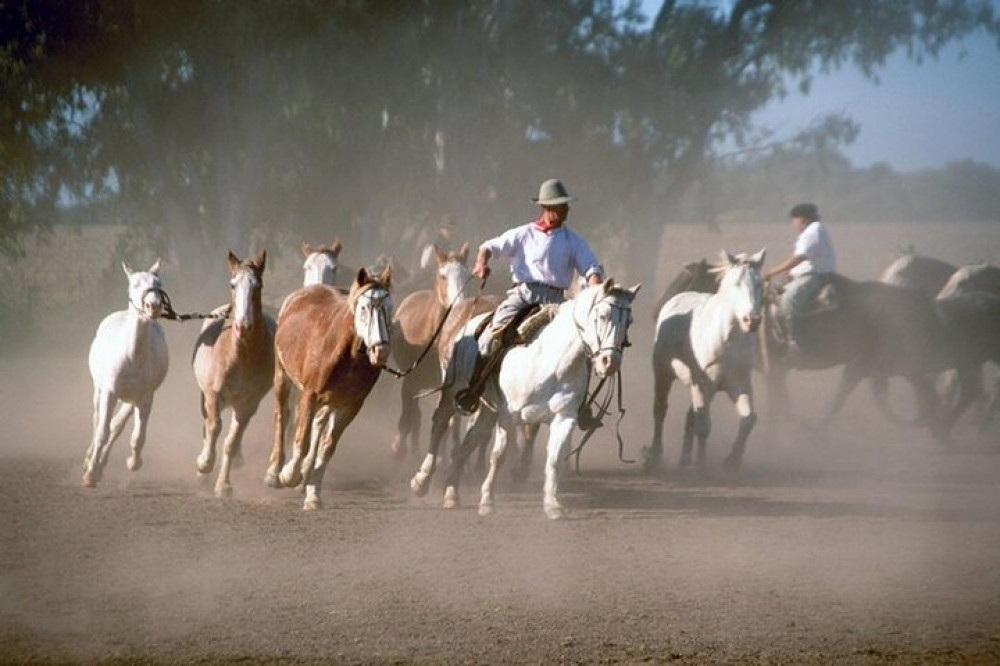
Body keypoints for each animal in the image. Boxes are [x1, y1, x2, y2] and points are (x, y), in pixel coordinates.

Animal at [83, 256, 169, 486]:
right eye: (135, 284)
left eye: (158, 284)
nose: (152, 306)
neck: (131, 358)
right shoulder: (109, 393)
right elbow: (102, 432)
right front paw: (90, 474)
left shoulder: (145, 398)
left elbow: (137, 436)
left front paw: (133, 462)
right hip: (99, 391)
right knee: (98, 422)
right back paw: (90, 459)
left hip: (131, 400)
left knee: (117, 427)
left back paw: (102, 464)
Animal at [192, 252, 276, 496]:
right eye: (233, 284)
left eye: (258, 285)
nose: (243, 327)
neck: (240, 355)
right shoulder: (212, 394)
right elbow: (213, 427)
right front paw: (204, 464)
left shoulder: (248, 404)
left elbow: (231, 441)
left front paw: (224, 485)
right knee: (208, 424)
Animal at [270, 264, 394, 508]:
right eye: (364, 307)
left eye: (389, 308)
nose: (381, 351)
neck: (346, 355)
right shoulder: (309, 395)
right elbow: (302, 440)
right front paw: (289, 474)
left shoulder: (350, 406)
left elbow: (327, 447)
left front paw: (313, 494)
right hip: (282, 376)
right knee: (283, 416)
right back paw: (275, 471)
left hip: (328, 401)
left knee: (318, 424)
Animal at [408, 278, 636, 516]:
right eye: (602, 315)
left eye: (629, 321)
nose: (610, 362)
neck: (552, 361)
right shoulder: (509, 415)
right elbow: (498, 456)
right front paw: (487, 501)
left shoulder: (564, 417)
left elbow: (554, 459)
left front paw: (552, 504)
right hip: (453, 391)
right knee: (440, 424)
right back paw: (421, 481)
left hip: (488, 410)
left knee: (469, 442)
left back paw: (452, 493)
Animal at [644, 249, 760, 472]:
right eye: (736, 283)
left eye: (759, 283)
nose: (752, 320)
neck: (726, 341)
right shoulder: (702, 384)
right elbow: (703, 424)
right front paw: (701, 464)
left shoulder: (739, 384)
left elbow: (748, 419)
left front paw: (732, 460)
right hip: (663, 373)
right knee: (660, 410)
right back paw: (655, 455)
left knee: (690, 416)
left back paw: (683, 458)